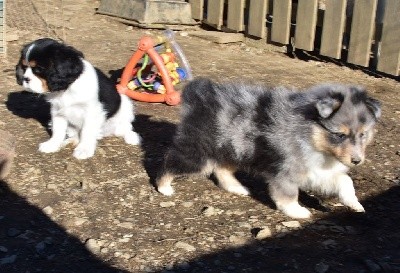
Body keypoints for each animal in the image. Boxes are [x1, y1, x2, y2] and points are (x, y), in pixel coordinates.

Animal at [157, 77, 382, 218]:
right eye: (340, 135)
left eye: (363, 134)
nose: (357, 161)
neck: (313, 136)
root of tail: (198, 98)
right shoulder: (287, 171)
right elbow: (288, 194)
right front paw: (297, 211)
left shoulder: (318, 171)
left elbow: (345, 181)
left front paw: (354, 203)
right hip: (198, 152)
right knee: (170, 163)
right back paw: (164, 188)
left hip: (235, 148)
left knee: (222, 169)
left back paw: (238, 188)